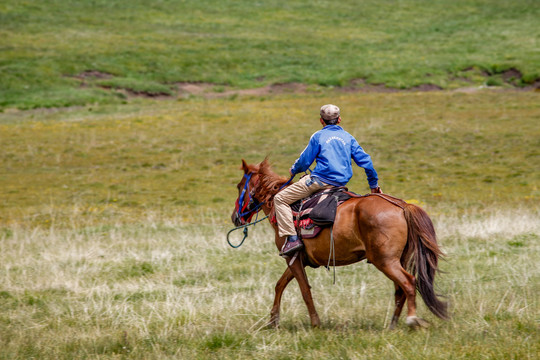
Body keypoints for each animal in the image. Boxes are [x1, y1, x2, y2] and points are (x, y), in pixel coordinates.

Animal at [232, 159, 448, 328]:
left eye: (239, 186)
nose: (235, 217)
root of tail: (403, 206)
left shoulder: (292, 258)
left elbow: (304, 290)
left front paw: (315, 323)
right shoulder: (298, 259)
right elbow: (280, 285)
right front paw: (273, 321)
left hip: (385, 261)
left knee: (408, 283)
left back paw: (411, 320)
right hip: (397, 260)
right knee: (399, 290)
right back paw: (393, 325)